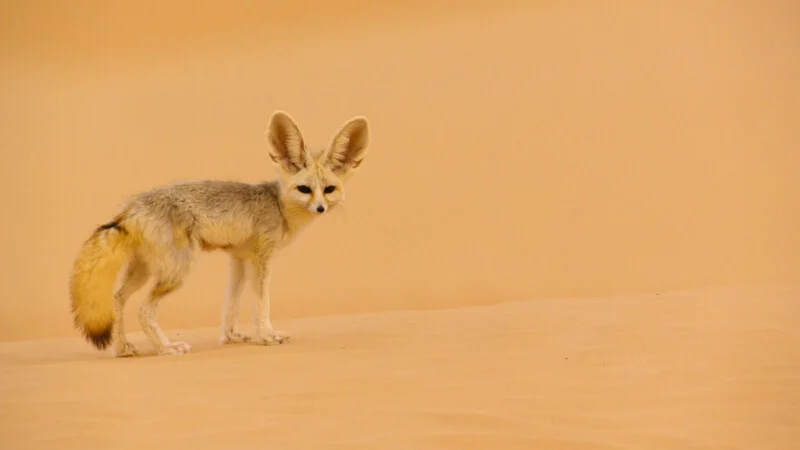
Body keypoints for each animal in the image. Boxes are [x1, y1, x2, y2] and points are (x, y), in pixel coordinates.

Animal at [69, 111, 370, 357]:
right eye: (304, 189)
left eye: (329, 190)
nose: (320, 208)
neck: (278, 207)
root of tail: (131, 207)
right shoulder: (261, 260)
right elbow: (261, 304)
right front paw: (268, 336)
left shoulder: (238, 258)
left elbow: (231, 303)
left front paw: (231, 336)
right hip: (176, 272)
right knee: (143, 310)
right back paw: (166, 348)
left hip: (144, 270)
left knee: (117, 299)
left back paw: (122, 349)